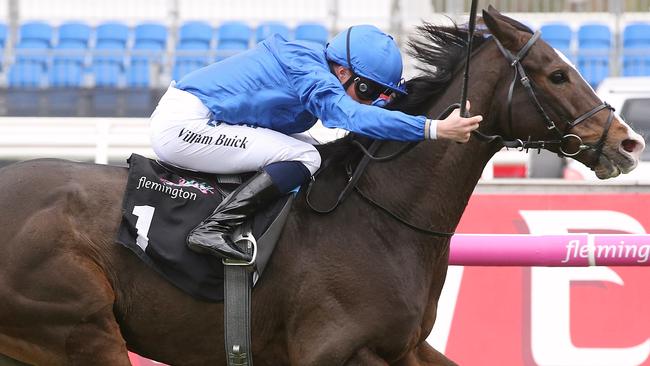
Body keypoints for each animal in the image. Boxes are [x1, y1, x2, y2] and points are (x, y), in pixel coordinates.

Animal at [0, 6, 640, 366]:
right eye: (557, 74)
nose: (628, 142)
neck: (379, 220)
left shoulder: (405, 347)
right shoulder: (333, 349)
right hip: (77, 328)